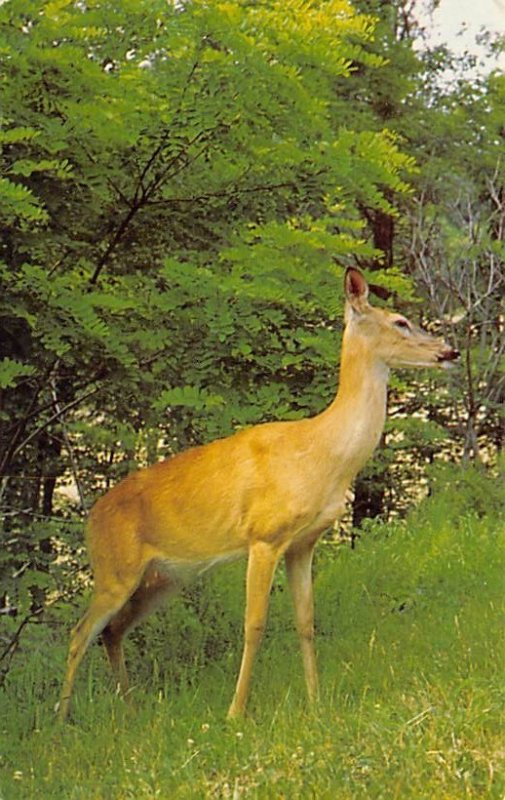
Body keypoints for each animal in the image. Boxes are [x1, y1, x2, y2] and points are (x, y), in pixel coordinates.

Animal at [57, 268, 458, 720]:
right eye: (400, 322)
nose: (449, 350)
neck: (322, 452)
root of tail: (91, 517)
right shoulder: (264, 536)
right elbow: (255, 624)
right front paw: (236, 713)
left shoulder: (303, 542)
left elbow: (306, 621)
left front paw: (316, 703)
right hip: (115, 569)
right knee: (79, 632)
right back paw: (60, 720)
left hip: (162, 576)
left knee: (112, 630)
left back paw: (130, 709)